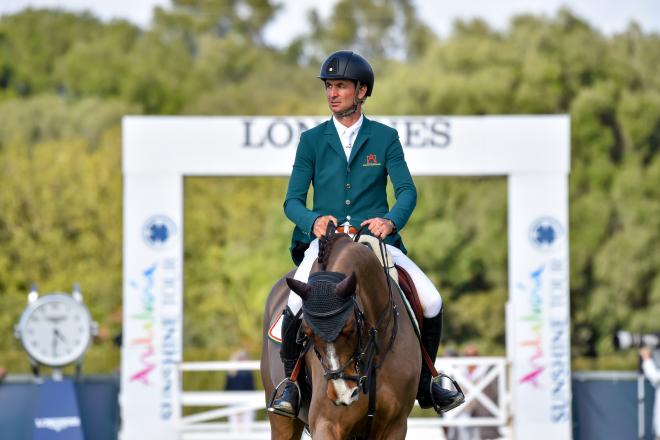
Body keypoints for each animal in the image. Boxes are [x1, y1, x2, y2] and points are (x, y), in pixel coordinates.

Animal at [260, 232, 420, 438]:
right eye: (307, 333)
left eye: (350, 329)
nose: (342, 394)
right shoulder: (326, 424)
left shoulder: (395, 425)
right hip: (281, 421)